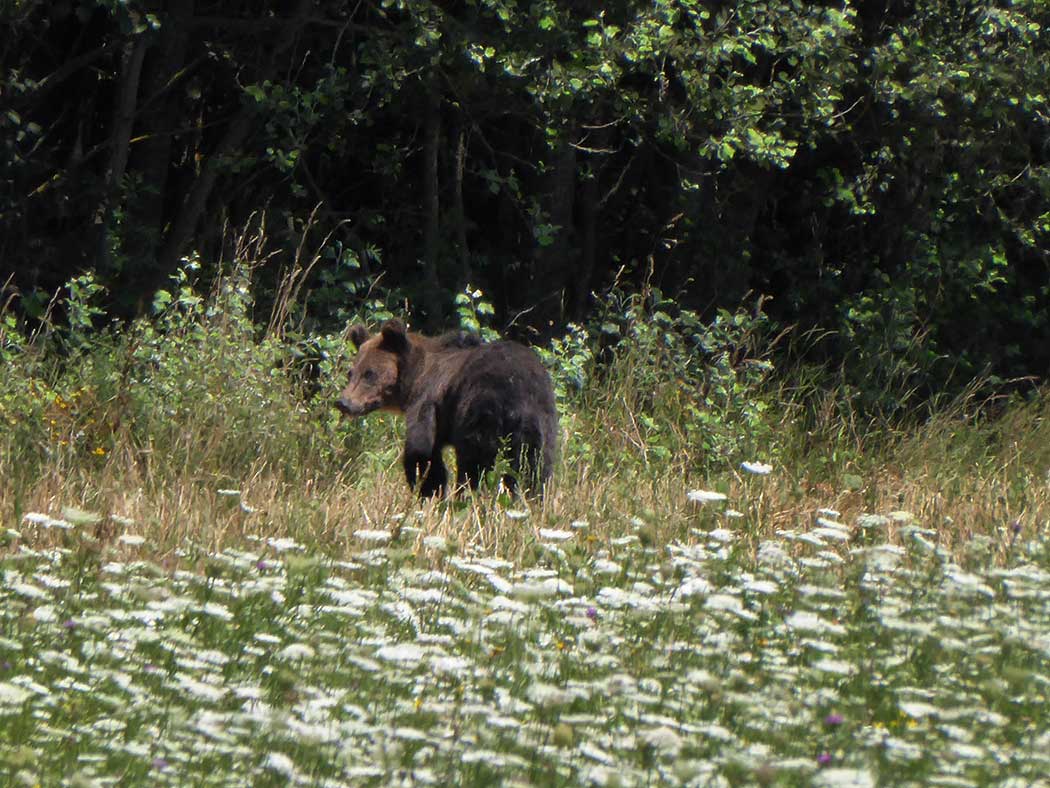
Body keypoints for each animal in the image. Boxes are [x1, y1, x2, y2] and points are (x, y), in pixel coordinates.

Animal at [335, 319, 558, 497]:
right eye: (351, 373)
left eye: (369, 373)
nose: (344, 402)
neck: (414, 378)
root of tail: (520, 389)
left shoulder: (428, 402)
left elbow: (421, 451)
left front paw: (428, 491)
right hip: (541, 422)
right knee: (535, 468)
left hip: (481, 409)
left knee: (475, 465)